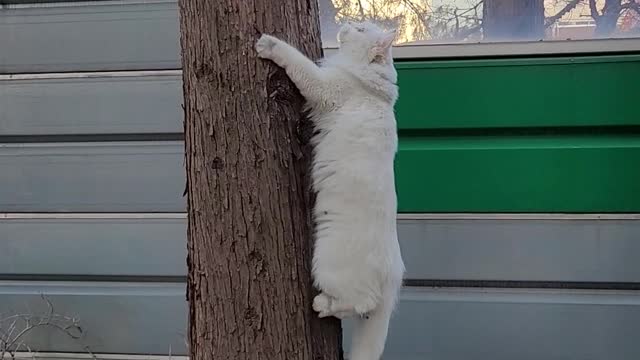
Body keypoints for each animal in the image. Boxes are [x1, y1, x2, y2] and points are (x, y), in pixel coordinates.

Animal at [256, 21, 404, 360]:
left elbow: (296, 61)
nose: (347, 24)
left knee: (358, 303)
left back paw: (321, 304)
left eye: (360, 29)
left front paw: (267, 44)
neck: (376, 93)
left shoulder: (324, 88)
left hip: (327, 263)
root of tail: (394, 271)